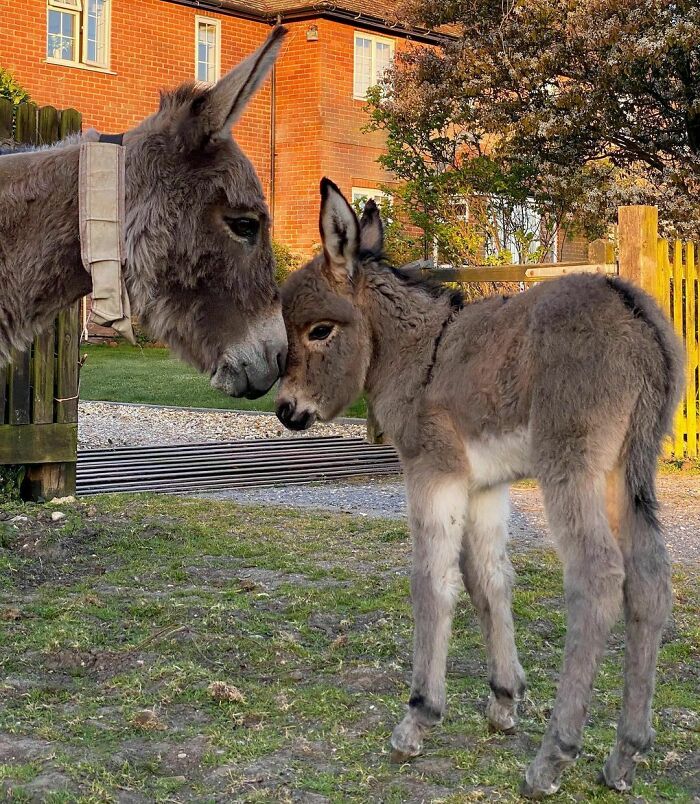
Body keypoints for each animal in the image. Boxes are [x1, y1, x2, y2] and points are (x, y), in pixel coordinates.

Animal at [274, 179, 684, 796]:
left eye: (319, 330)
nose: (285, 410)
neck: (418, 355)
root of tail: (634, 312)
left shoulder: (432, 471)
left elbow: (432, 582)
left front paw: (418, 717)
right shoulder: (485, 486)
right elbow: (488, 579)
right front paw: (504, 701)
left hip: (571, 464)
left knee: (598, 577)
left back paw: (554, 756)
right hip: (628, 469)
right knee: (650, 579)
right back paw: (625, 755)